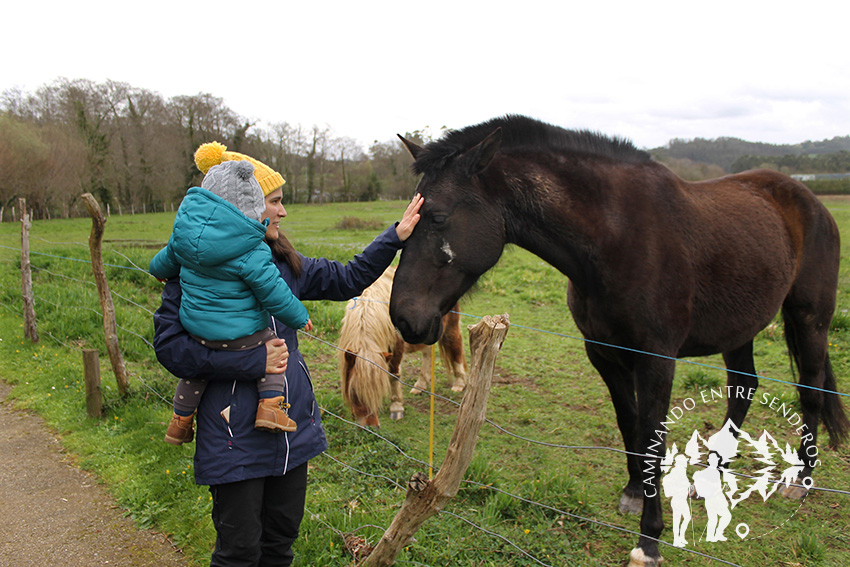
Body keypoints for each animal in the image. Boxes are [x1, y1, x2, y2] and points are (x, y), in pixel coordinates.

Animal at [338, 268, 468, 428]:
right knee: (427, 354)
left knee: (456, 345)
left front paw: (396, 408)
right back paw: (420, 385)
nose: (371, 426)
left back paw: (459, 383)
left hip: (450, 327)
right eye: (354, 393)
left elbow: (394, 375)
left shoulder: (396, 347)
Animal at [388, 116, 844, 567]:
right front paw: (633, 493)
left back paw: (802, 480)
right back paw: (715, 474)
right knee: (744, 387)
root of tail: (810, 201)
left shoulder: (656, 359)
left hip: (810, 320)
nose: (404, 318)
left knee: (811, 389)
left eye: (438, 217)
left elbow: (654, 434)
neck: (618, 236)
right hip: (740, 328)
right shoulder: (605, 354)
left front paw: (649, 542)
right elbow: (631, 424)